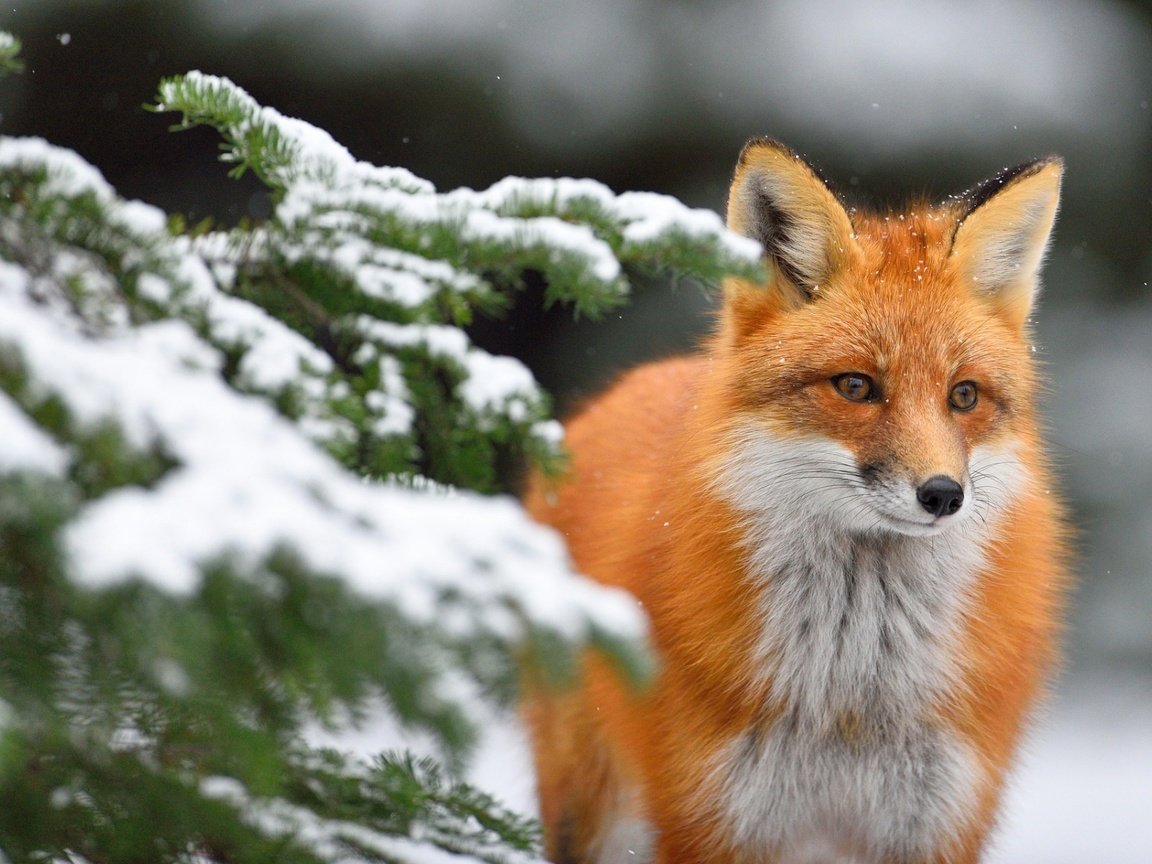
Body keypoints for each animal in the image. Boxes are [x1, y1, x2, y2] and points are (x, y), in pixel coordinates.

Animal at [523, 140, 1069, 864]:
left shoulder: (934, 823)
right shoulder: (714, 818)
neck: (854, 697)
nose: (943, 495)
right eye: (856, 386)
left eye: (964, 395)